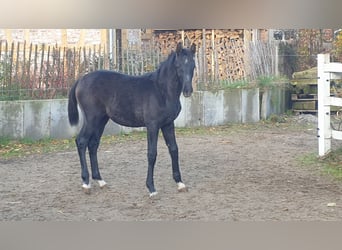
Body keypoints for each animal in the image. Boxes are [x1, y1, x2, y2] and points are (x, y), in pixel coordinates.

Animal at [68, 42, 196, 196]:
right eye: (178, 66)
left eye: (193, 66)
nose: (187, 91)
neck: (162, 91)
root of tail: (80, 80)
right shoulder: (152, 125)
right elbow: (152, 154)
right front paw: (151, 188)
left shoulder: (168, 124)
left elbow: (174, 149)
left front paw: (180, 183)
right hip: (92, 119)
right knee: (81, 141)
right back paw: (86, 183)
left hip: (101, 120)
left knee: (93, 145)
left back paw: (100, 180)